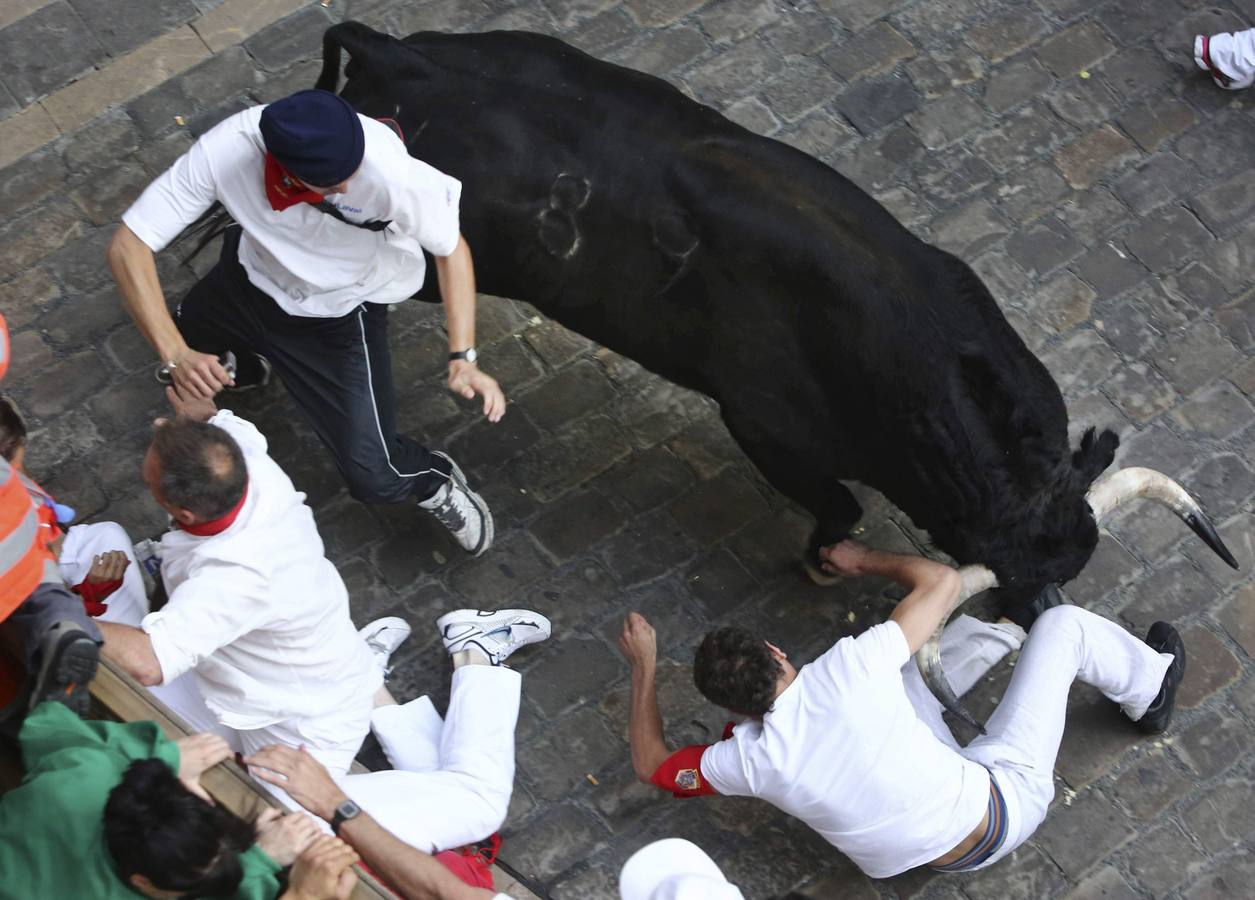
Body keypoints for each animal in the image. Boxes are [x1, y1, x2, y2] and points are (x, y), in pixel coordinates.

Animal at [316, 21, 1234, 617]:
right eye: (1002, 559)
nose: (1037, 610)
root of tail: (400, 50)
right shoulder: (766, 428)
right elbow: (839, 509)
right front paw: (821, 562)